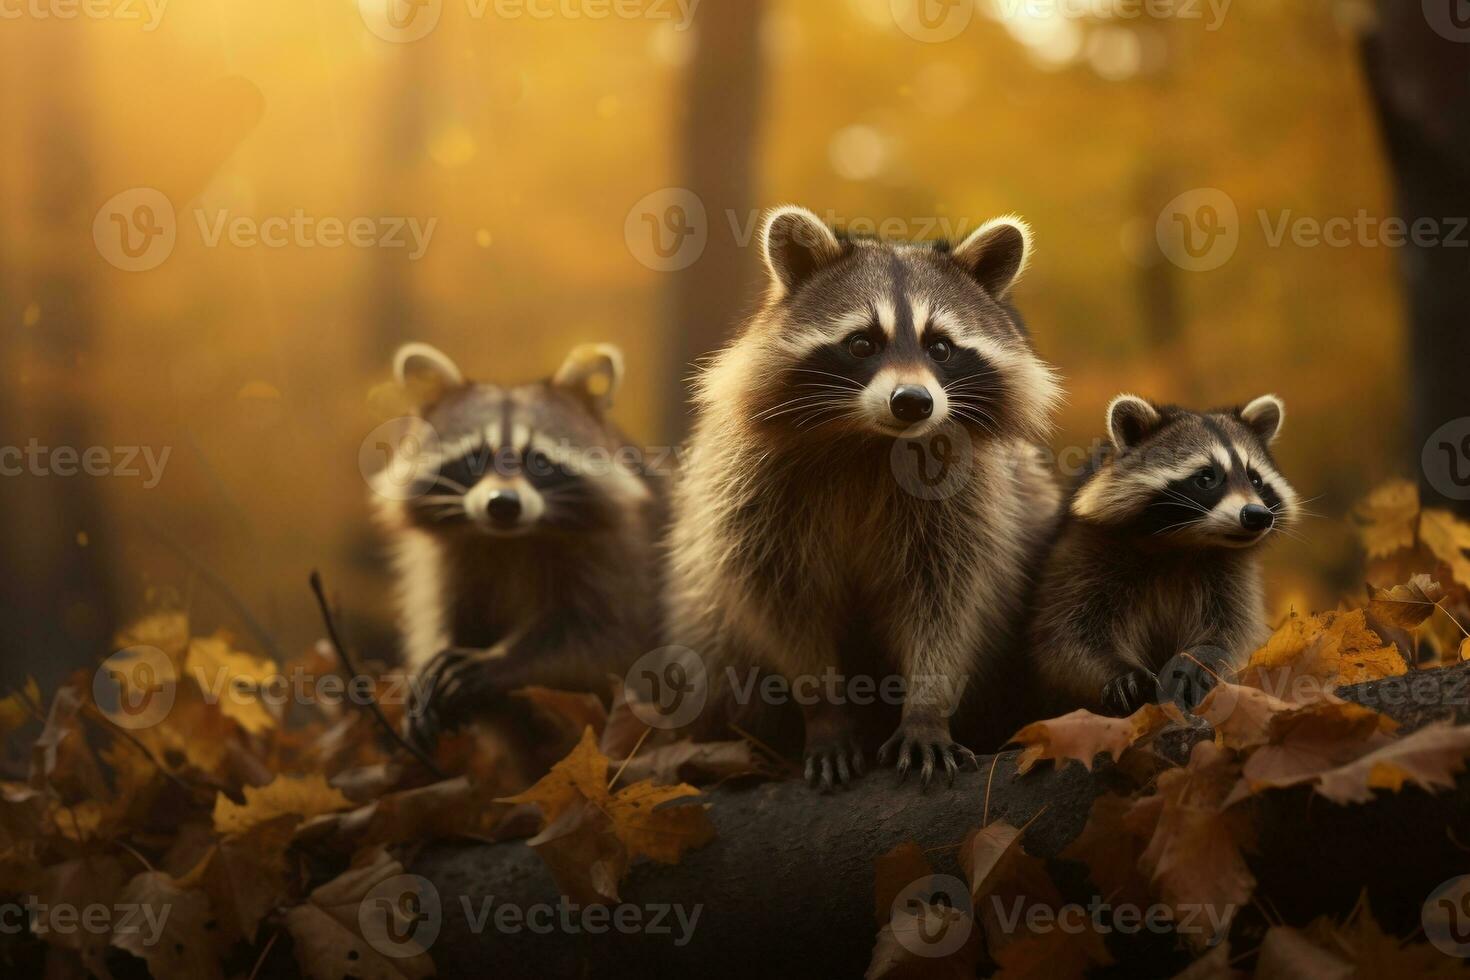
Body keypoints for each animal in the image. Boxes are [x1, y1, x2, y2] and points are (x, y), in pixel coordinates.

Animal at [370, 345, 664, 758]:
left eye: (538, 459)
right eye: (474, 458)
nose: (503, 505)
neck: (509, 541)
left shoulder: (625, 557)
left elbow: (602, 640)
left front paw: (500, 660)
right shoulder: (447, 562)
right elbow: (442, 619)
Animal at [670, 205, 1070, 787]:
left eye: (940, 347)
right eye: (862, 343)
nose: (913, 402)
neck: (869, 440)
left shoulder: (969, 496)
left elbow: (948, 598)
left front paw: (926, 707)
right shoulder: (751, 494)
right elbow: (783, 602)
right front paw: (824, 708)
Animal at [1029, 393, 1305, 717]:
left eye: (1256, 480)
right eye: (1206, 478)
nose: (1257, 515)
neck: (1181, 543)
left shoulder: (1231, 573)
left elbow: (1237, 629)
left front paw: (1202, 661)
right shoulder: (1083, 554)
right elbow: (1065, 639)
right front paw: (1119, 673)